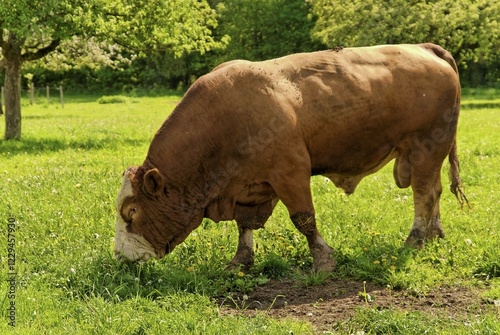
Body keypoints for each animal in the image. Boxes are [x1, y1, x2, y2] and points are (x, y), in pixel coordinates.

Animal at [115, 42, 466, 272]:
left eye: (132, 211)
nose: (121, 257)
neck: (224, 119)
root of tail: (425, 48)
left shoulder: (290, 172)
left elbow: (304, 219)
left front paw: (323, 260)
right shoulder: (248, 185)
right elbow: (245, 225)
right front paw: (240, 261)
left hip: (425, 148)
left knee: (423, 195)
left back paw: (416, 239)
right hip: (428, 154)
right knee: (434, 191)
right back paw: (434, 234)